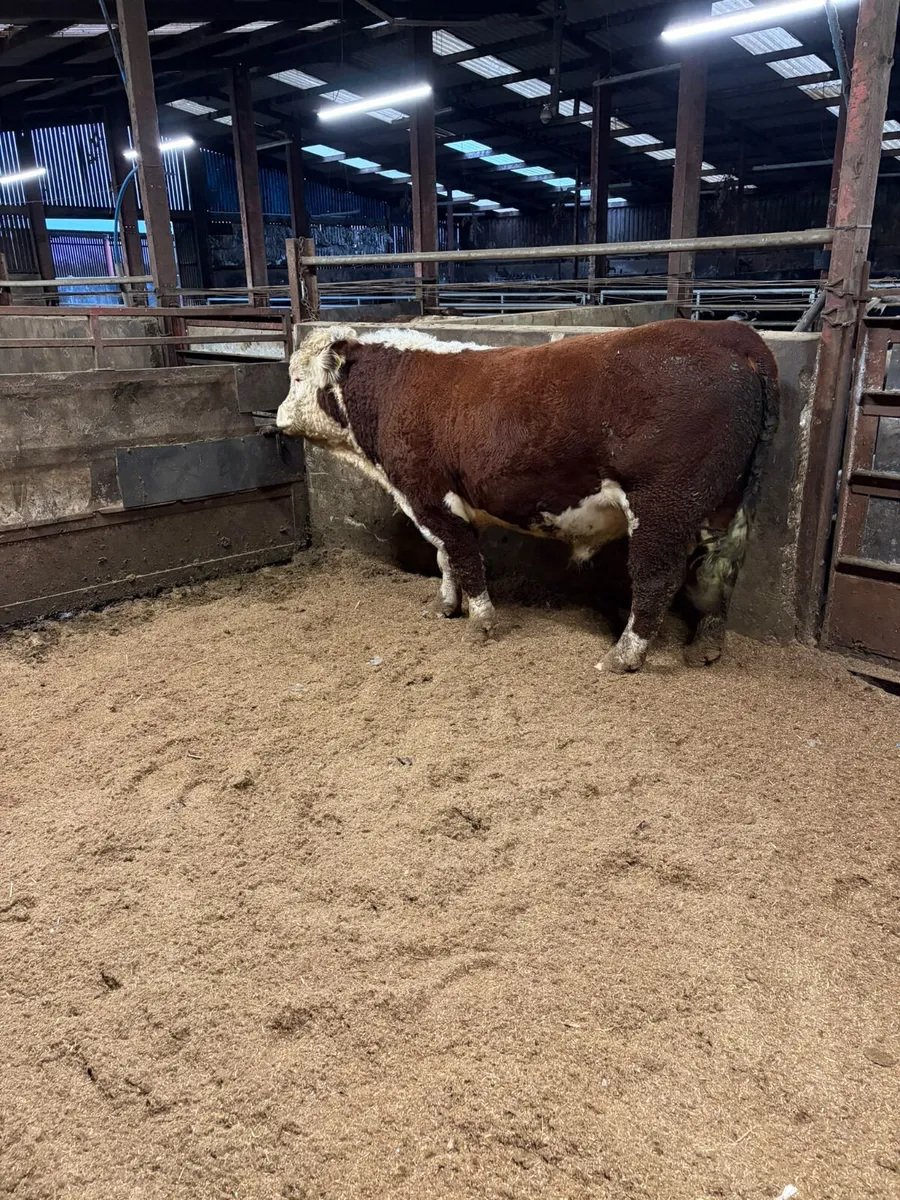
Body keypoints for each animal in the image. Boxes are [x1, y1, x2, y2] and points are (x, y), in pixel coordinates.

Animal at [276, 320, 778, 674]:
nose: (279, 417)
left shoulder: (427, 494)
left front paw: (480, 623)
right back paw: (706, 647)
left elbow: (462, 556)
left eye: (297, 379)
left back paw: (623, 657)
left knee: (656, 577)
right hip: (725, 504)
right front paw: (443, 606)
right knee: (719, 570)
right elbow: (446, 557)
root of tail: (729, 333)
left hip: (663, 503)